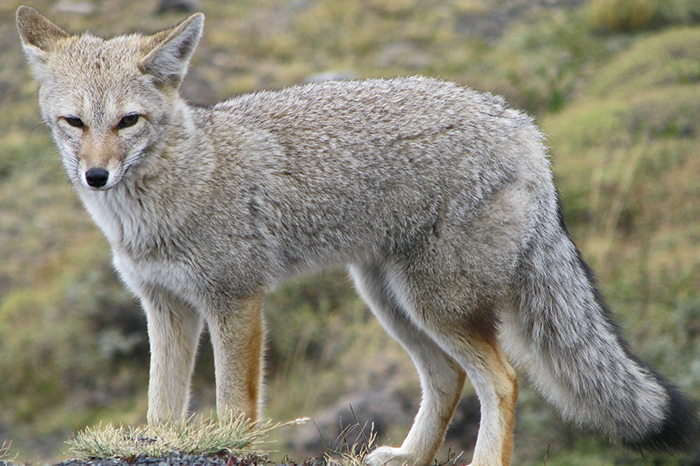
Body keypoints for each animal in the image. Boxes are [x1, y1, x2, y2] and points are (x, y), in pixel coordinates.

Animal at [16, 5, 699, 466]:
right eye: (73, 122)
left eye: (128, 122)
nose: (96, 175)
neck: (175, 188)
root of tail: (521, 125)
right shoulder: (165, 307)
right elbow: (162, 407)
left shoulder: (235, 301)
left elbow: (233, 406)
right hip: (391, 301)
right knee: (448, 378)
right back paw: (411, 456)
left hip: (435, 304)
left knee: (501, 380)